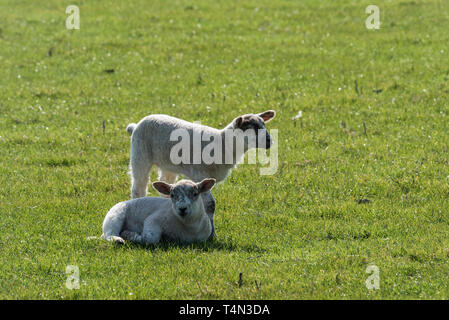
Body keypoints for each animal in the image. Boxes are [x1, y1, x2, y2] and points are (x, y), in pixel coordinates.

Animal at [124, 110, 274, 238]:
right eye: (249, 127)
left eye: (264, 124)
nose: (269, 141)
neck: (223, 144)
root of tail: (136, 125)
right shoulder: (201, 174)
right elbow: (210, 205)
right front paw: (212, 235)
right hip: (139, 154)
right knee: (138, 187)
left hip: (168, 164)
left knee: (164, 184)